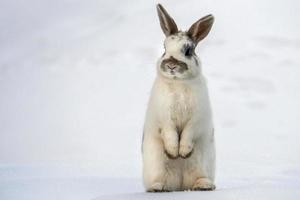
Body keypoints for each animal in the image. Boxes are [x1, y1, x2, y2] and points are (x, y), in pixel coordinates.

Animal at [142, 3, 216, 191]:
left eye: (188, 51)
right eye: (164, 48)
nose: (171, 65)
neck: (179, 83)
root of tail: (181, 185)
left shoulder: (197, 118)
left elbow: (188, 132)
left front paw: (183, 152)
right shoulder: (164, 118)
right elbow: (170, 134)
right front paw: (173, 152)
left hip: (203, 163)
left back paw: (204, 186)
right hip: (155, 165)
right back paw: (157, 188)